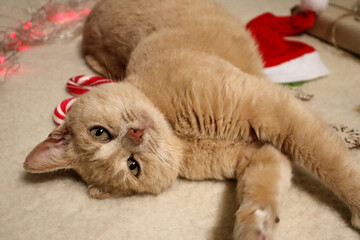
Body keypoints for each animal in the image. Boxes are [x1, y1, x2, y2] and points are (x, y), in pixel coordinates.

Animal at [23, 0, 360, 240]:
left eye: (99, 133)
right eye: (133, 166)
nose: (135, 135)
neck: (181, 134)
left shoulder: (270, 108)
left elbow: (331, 163)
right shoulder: (260, 151)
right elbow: (261, 191)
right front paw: (256, 227)